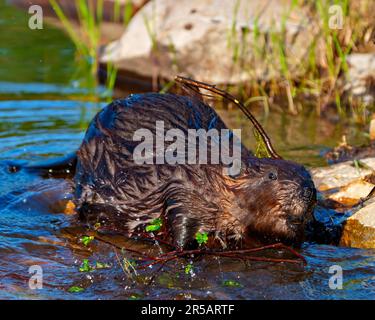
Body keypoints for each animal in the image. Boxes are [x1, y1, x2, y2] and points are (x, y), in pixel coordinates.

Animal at [9, 91, 318, 249]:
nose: (308, 191)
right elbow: (180, 219)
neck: (207, 163)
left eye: (307, 173)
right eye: (271, 175)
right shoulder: (181, 186)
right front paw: (187, 248)